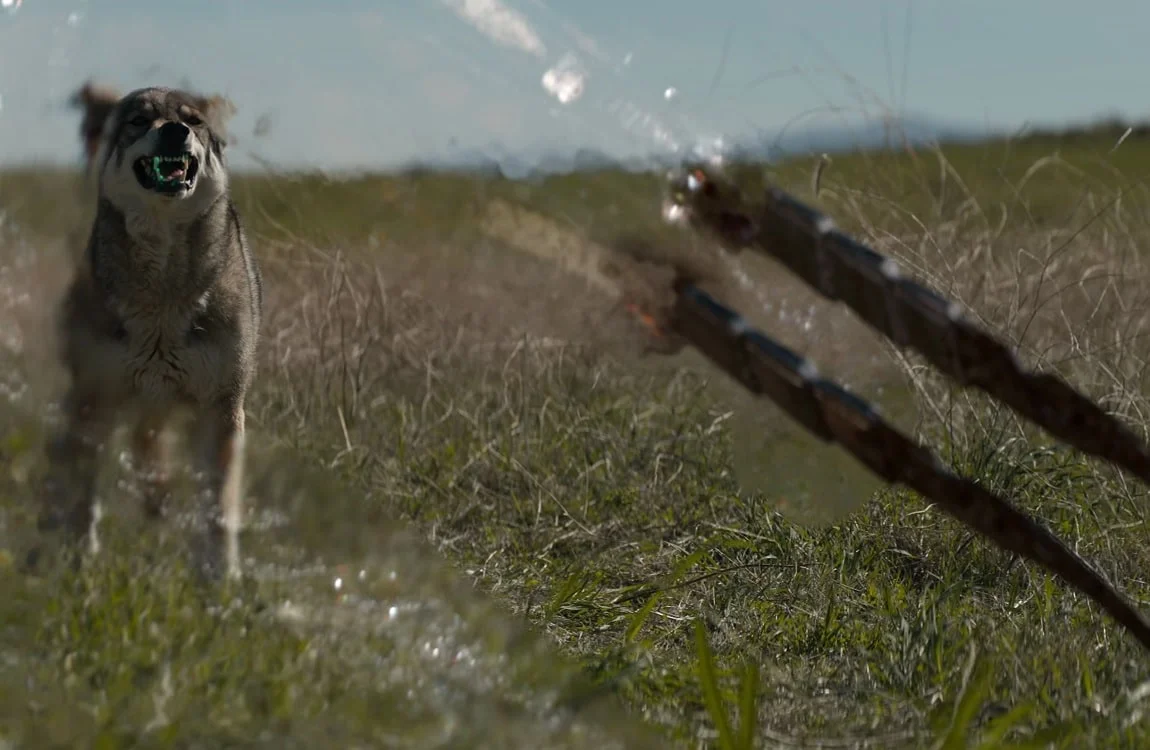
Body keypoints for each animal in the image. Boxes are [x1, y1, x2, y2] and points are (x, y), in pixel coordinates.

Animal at [31, 86, 262, 581]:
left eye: (193, 122)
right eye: (139, 120)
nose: (174, 131)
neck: (162, 292)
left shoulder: (222, 409)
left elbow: (218, 509)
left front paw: (218, 583)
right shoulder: (95, 400)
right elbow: (85, 500)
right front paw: (80, 568)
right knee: (67, 467)